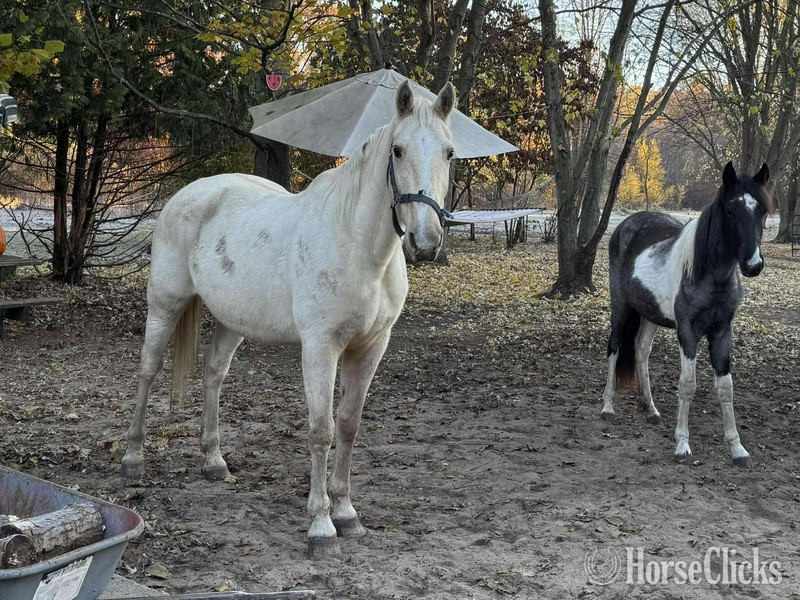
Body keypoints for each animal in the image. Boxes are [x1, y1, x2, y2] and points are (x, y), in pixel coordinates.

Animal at [121, 80, 457, 557]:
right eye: (397, 150)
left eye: (449, 152)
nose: (425, 242)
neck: (358, 246)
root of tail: (189, 194)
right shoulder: (320, 347)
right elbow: (321, 430)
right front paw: (321, 525)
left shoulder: (371, 347)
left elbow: (349, 425)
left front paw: (347, 512)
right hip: (165, 303)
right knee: (148, 370)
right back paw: (133, 458)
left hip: (232, 321)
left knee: (213, 375)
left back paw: (213, 461)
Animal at [600, 162, 772, 468]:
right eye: (730, 210)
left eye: (761, 210)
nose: (753, 264)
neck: (710, 275)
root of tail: (626, 225)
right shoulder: (688, 332)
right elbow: (687, 385)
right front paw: (682, 444)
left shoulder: (722, 332)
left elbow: (726, 387)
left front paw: (737, 448)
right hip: (620, 306)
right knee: (615, 347)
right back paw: (608, 407)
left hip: (650, 315)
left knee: (641, 353)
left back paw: (651, 410)